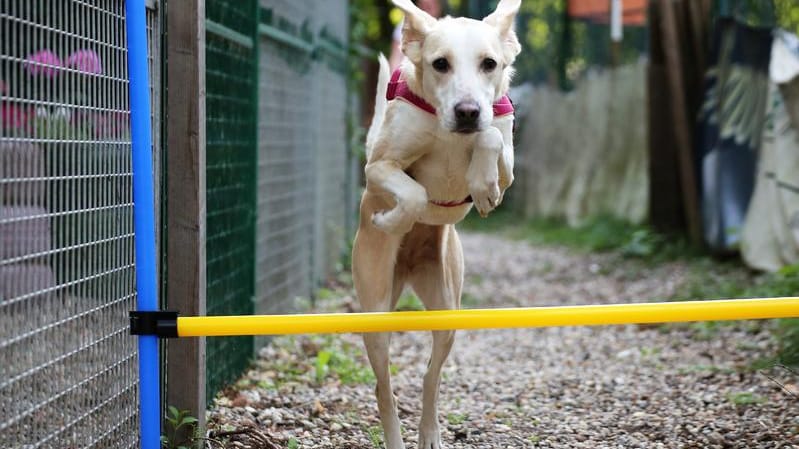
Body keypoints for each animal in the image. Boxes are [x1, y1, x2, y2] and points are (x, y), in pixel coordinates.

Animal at [354, 1, 520, 446]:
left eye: (489, 64)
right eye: (440, 64)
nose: (467, 112)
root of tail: (409, 270)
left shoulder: (507, 160)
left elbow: (490, 139)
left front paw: (482, 186)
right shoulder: (378, 167)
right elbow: (412, 193)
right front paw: (392, 219)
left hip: (447, 312)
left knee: (431, 379)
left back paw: (429, 432)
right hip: (375, 311)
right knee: (385, 389)